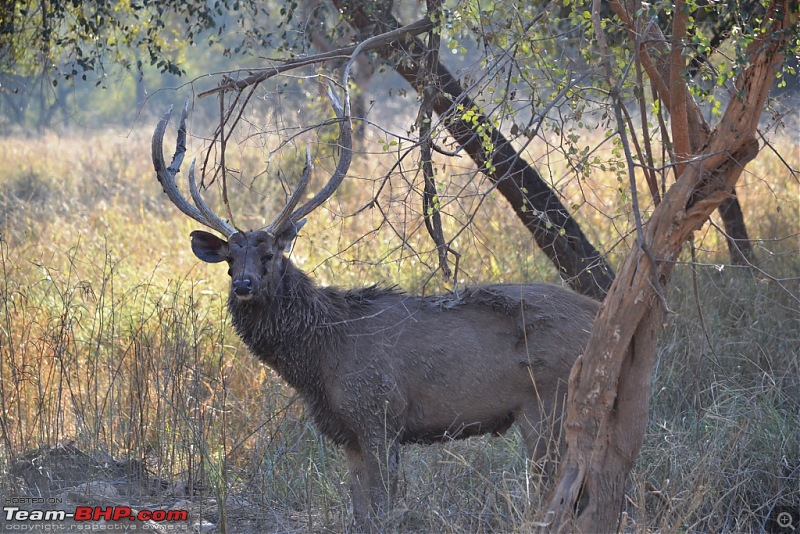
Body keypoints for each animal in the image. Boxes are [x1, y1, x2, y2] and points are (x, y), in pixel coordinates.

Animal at [153, 87, 596, 528]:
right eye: (230, 260)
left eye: (270, 256)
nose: (243, 284)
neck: (320, 360)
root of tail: (598, 312)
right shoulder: (348, 434)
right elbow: (360, 513)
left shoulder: (378, 415)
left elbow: (382, 510)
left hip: (550, 404)